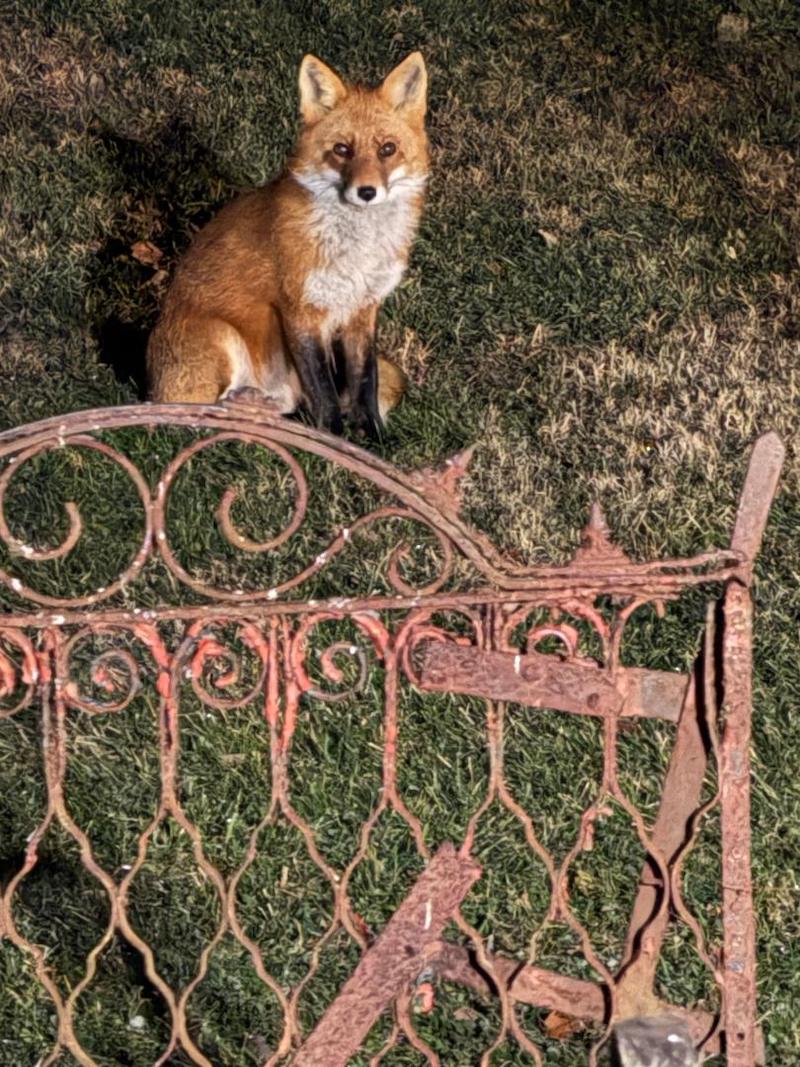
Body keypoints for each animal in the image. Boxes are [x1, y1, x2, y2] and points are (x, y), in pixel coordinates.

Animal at [146, 52, 429, 439]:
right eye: (342, 150)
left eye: (388, 149)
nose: (367, 191)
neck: (357, 251)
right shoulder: (300, 309)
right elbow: (323, 390)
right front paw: (331, 439)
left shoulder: (362, 309)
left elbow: (365, 383)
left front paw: (372, 439)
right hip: (220, 337)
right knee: (184, 419)